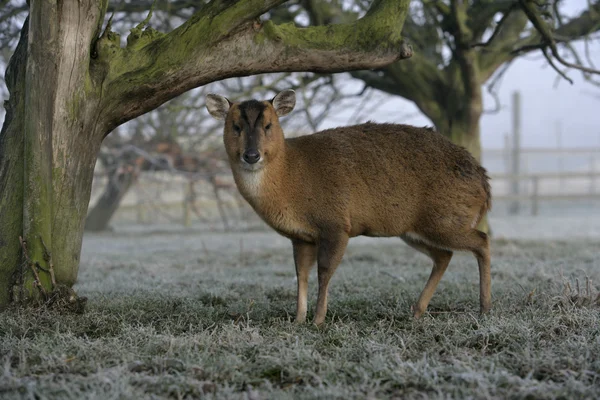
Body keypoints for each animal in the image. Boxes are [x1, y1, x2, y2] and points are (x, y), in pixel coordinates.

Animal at [206, 90, 492, 324]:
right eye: (235, 126)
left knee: (482, 240)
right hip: (414, 228)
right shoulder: (301, 237)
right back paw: (417, 311)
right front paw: (298, 319)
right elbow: (301, 274)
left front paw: (318, 321)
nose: (251, 155)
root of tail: (484, 183)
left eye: (269, 125)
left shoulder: (336, 224)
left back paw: (485, 308)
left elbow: (324, 272)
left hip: (446, 218)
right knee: (444, 255)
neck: (292, 180)